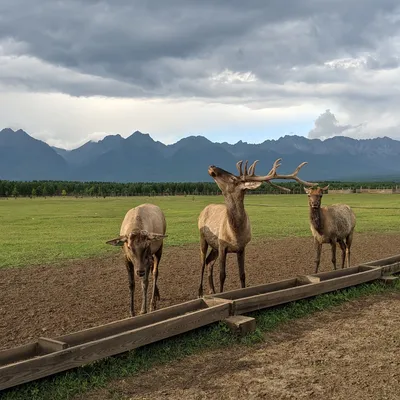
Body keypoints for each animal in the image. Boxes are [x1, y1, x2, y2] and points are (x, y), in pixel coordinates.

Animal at [197, 158, 316, 296]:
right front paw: (222, 293)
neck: (235, 233)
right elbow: (222, 275)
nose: (212, 166)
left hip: (214, 246)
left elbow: (242, 274)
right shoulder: (222, 245)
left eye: (233, 178)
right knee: (202, 264)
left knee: (208, 262)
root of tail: (205, 208)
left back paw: (212, 290)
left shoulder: (241, 247)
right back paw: (200, 292)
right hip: (203, 237)